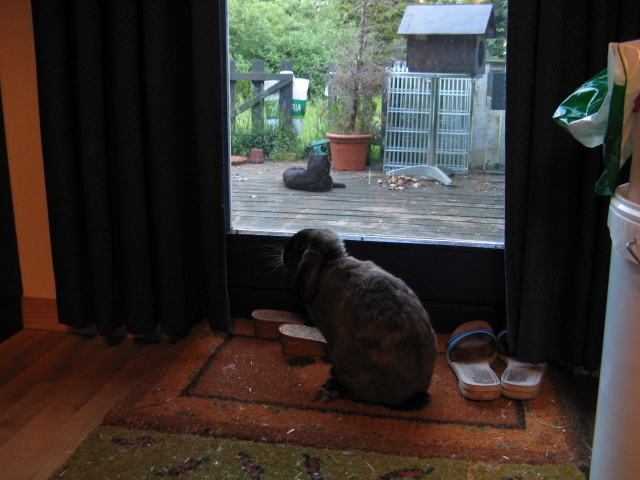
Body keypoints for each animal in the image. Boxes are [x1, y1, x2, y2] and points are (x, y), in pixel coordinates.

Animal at [281, 228, 438, 409]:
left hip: (343, 352)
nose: (283, 251)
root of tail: (411, 396)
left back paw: (333, 386)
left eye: (299, 245)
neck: (328, 263)